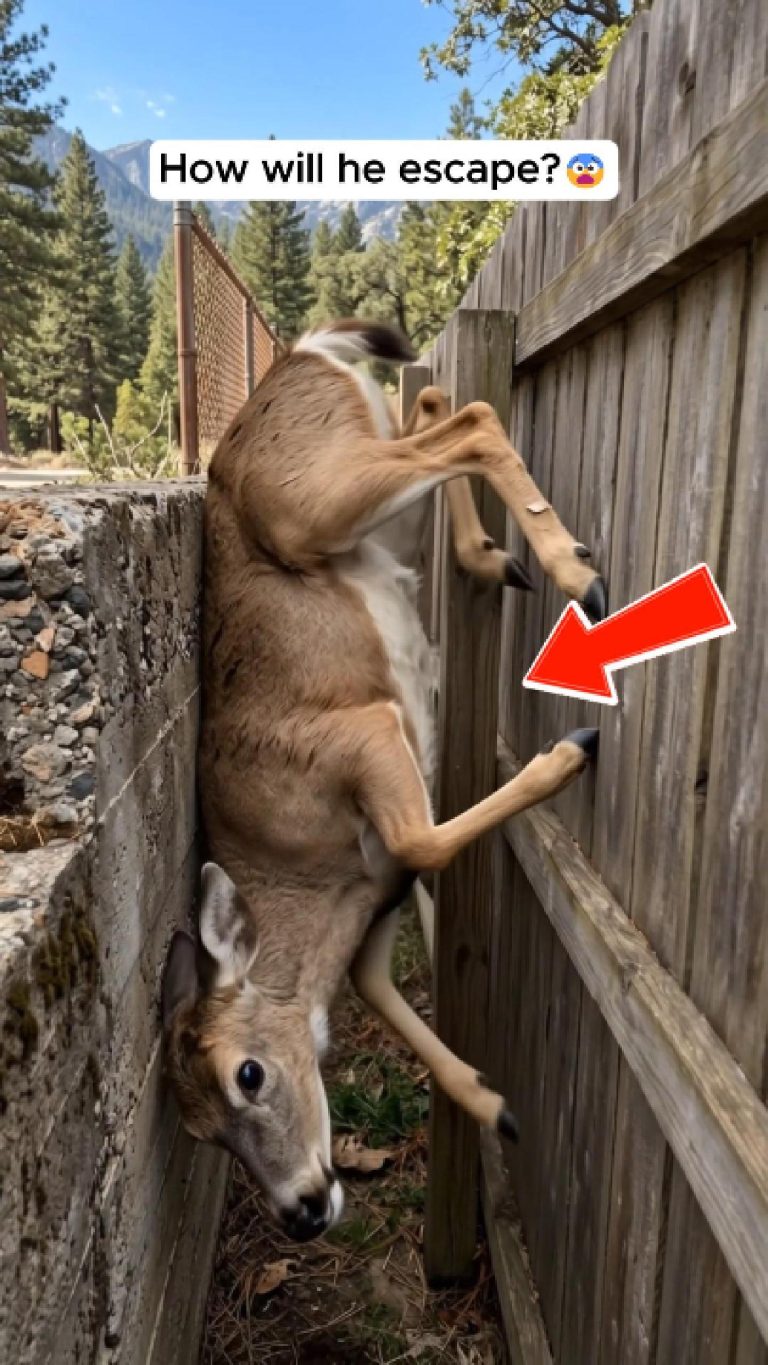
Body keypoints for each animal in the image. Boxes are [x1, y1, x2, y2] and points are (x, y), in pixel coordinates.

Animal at [161, 320, 606, 1243]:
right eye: (200, 1130)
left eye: (247, 1074)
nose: (301, 1209)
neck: (315, 889)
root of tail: (305, 349)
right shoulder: (373, 914)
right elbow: (378, 982)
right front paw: (494, 1102)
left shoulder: (359, 734)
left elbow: (419, 838)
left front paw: (573, 749)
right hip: (361, 505)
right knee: (436, 406)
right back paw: (496, 557)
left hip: (310, 501)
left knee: (467, 417)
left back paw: (575, 568)